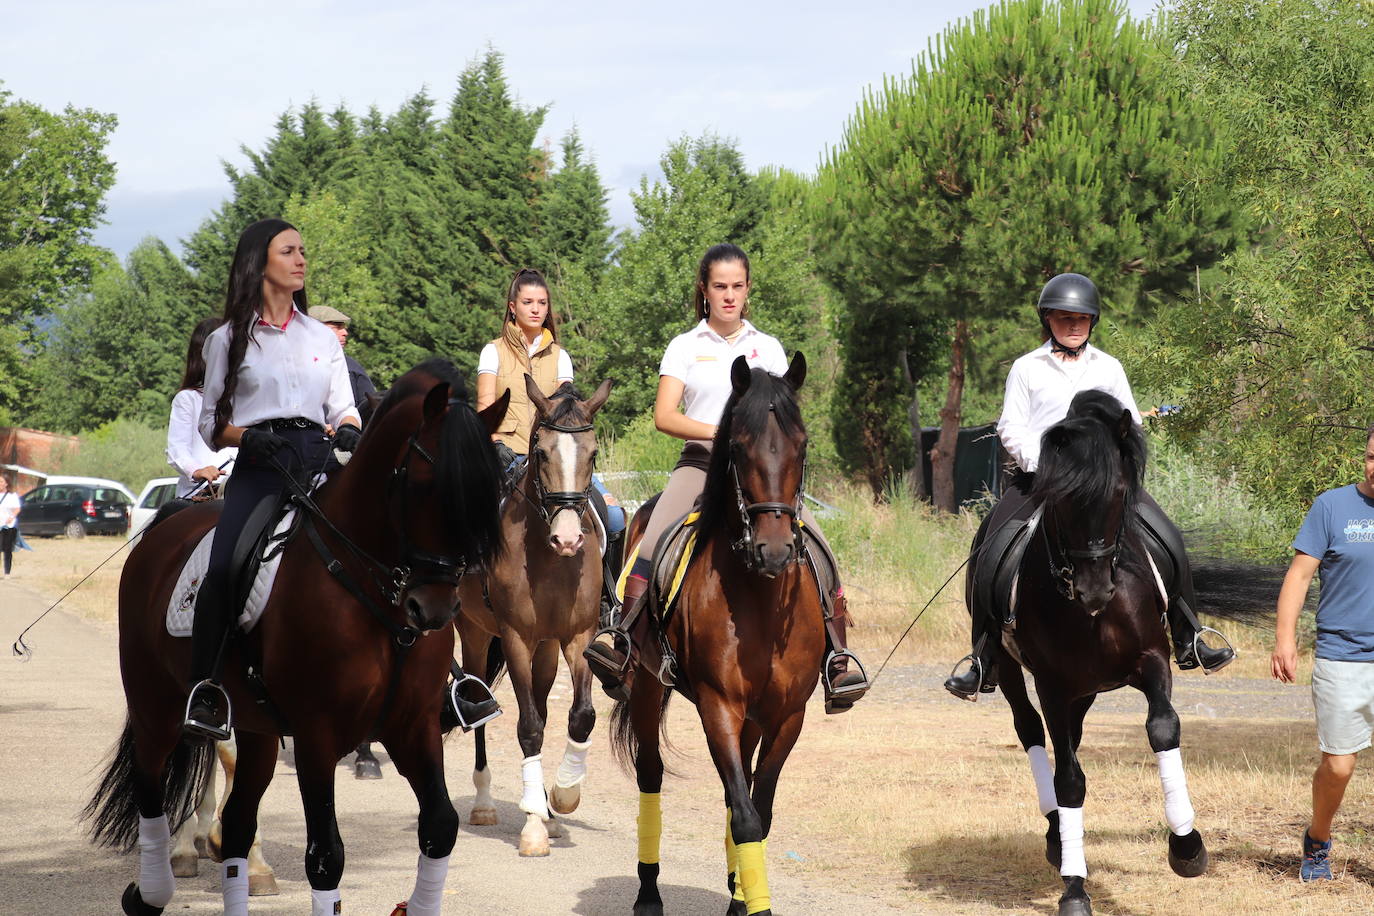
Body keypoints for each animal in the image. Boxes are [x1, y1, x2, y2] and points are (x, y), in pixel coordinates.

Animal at [84, 359, 511, 916]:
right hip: (155, 702)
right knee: (150, 787)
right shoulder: (316, 734)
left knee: (239, 822)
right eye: (423, 485)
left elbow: (440, 826)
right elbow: (326, 855)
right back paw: (151, 891)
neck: (371, 590)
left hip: (257, 725)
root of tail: (167, 526)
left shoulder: (412, 725)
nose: (434, 610)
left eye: (485, 494)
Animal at [456, 373, 612, 862]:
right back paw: (485, 803)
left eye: (592, 453)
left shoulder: (578, 637)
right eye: (541, 452)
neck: (549, 559)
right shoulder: (516, 638)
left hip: (546, 649)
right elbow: (527, 728)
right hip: (474, 634)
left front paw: (562, 797)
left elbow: (580, 716)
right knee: (480, 702)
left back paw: (547, 807)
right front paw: (532, 830)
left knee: (543, 705)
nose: (568, 539)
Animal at [610, 357, 813, 916]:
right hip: (646, 685)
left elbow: (757, 810)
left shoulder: (787, 715)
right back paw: (648, 893)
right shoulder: (718, 705)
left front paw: (743, 898)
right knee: (651, 775)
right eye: (738, 448)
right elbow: (745, 815)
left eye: (802, 444)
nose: (774, 549)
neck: (760, 599)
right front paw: (754, 904)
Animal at [989, 390, 1203, 916]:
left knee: (1075, 735)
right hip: (1010, 670)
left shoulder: (1152, 660)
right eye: (1061, 500)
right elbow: (1068, 779)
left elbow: (1162, 728)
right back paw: (1055, 834)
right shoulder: (1052, 684)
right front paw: (1074, 887)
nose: (1094, 589)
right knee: (1032, 731)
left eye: (1120, 493)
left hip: (1085, 691)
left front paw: (1187, 845)